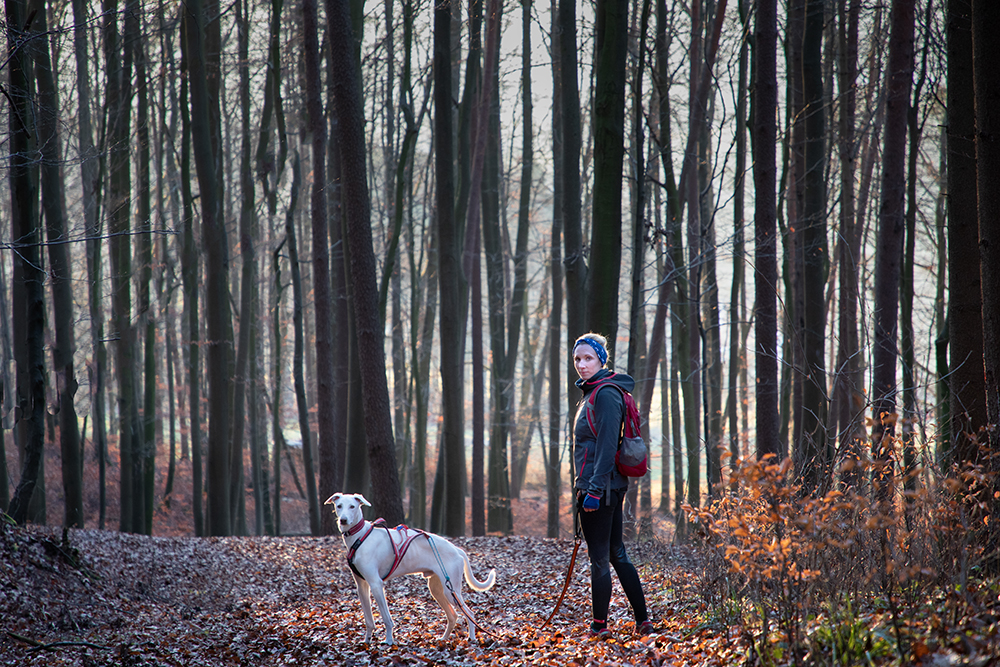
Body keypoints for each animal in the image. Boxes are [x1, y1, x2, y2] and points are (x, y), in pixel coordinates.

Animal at [326, 494, 498, 644]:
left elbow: (387, 619)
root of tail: (457, 549)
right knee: (453, 615)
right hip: (438, 589)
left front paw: (389, 641)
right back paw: (444, 639)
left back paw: (472, 638)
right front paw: (367, 640)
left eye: (352, 506)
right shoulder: (362, 586)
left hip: (451, 591)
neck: (360, 537)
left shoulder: (376, 584)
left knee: (469, 613)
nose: (343, 520)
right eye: (339, 506)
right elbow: (369, 620)